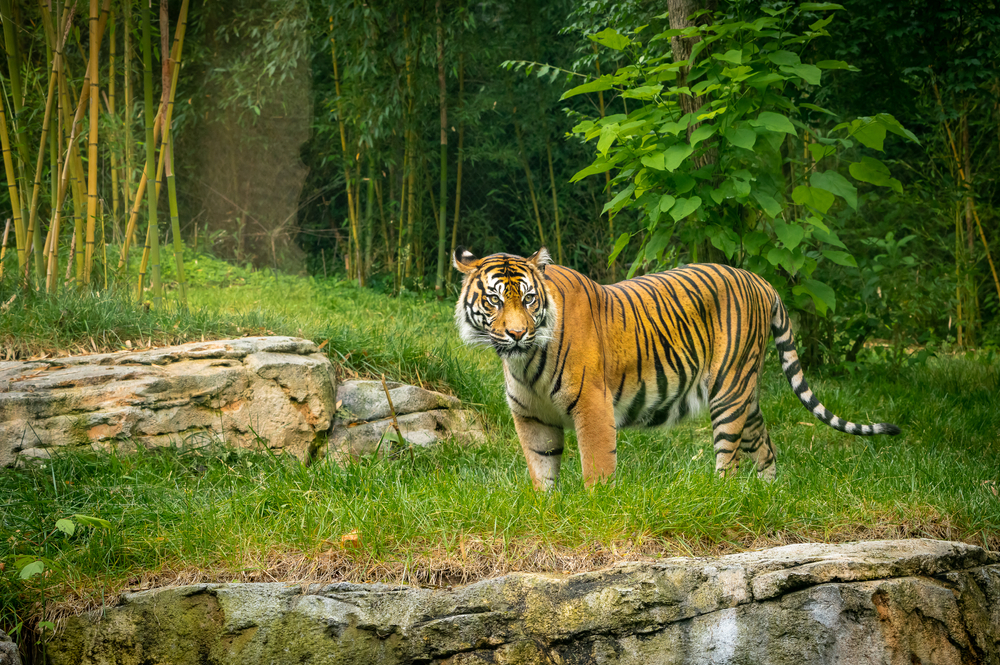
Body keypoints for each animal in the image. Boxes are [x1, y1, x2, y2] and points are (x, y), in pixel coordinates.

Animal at [454, 246, 900, 490]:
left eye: (529, 299)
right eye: (495, 301)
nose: (516, 334)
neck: (524, 360)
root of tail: (761, 281)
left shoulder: (592, 406)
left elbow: (597, 466)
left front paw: (597, 507)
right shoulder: (531, 415)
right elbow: (541, 468)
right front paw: (547, 508)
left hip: (728, 388)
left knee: (729, 456)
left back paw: (720, 495)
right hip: (747, 393)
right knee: (763, 443)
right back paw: (768, 494)